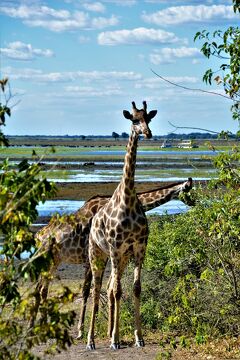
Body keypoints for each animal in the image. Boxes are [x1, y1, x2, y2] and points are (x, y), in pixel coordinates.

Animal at [34, 178, 193, 340]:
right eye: (188, 191)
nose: (194, 202)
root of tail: (38, 236)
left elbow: (104, 288)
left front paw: (106, 331)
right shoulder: (92, 256)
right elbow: (88, 290)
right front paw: (82, 331)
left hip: (54, 261)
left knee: (41, 289)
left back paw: (37, 325)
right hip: (49, 260)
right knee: (40, 288)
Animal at [86, 100, 158, 348]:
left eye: (149, 118)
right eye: (134, 119)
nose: (147, 133)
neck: (128, 197)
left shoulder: (139, 248)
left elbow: (135, 288)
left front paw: (138, 337)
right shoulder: (116, 247)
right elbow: (118, 291)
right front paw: (115, 340)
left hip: (122, 257)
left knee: (108, 288)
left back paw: (108, 334)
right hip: (98, 253)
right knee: (97, 289)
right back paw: (91, 340)